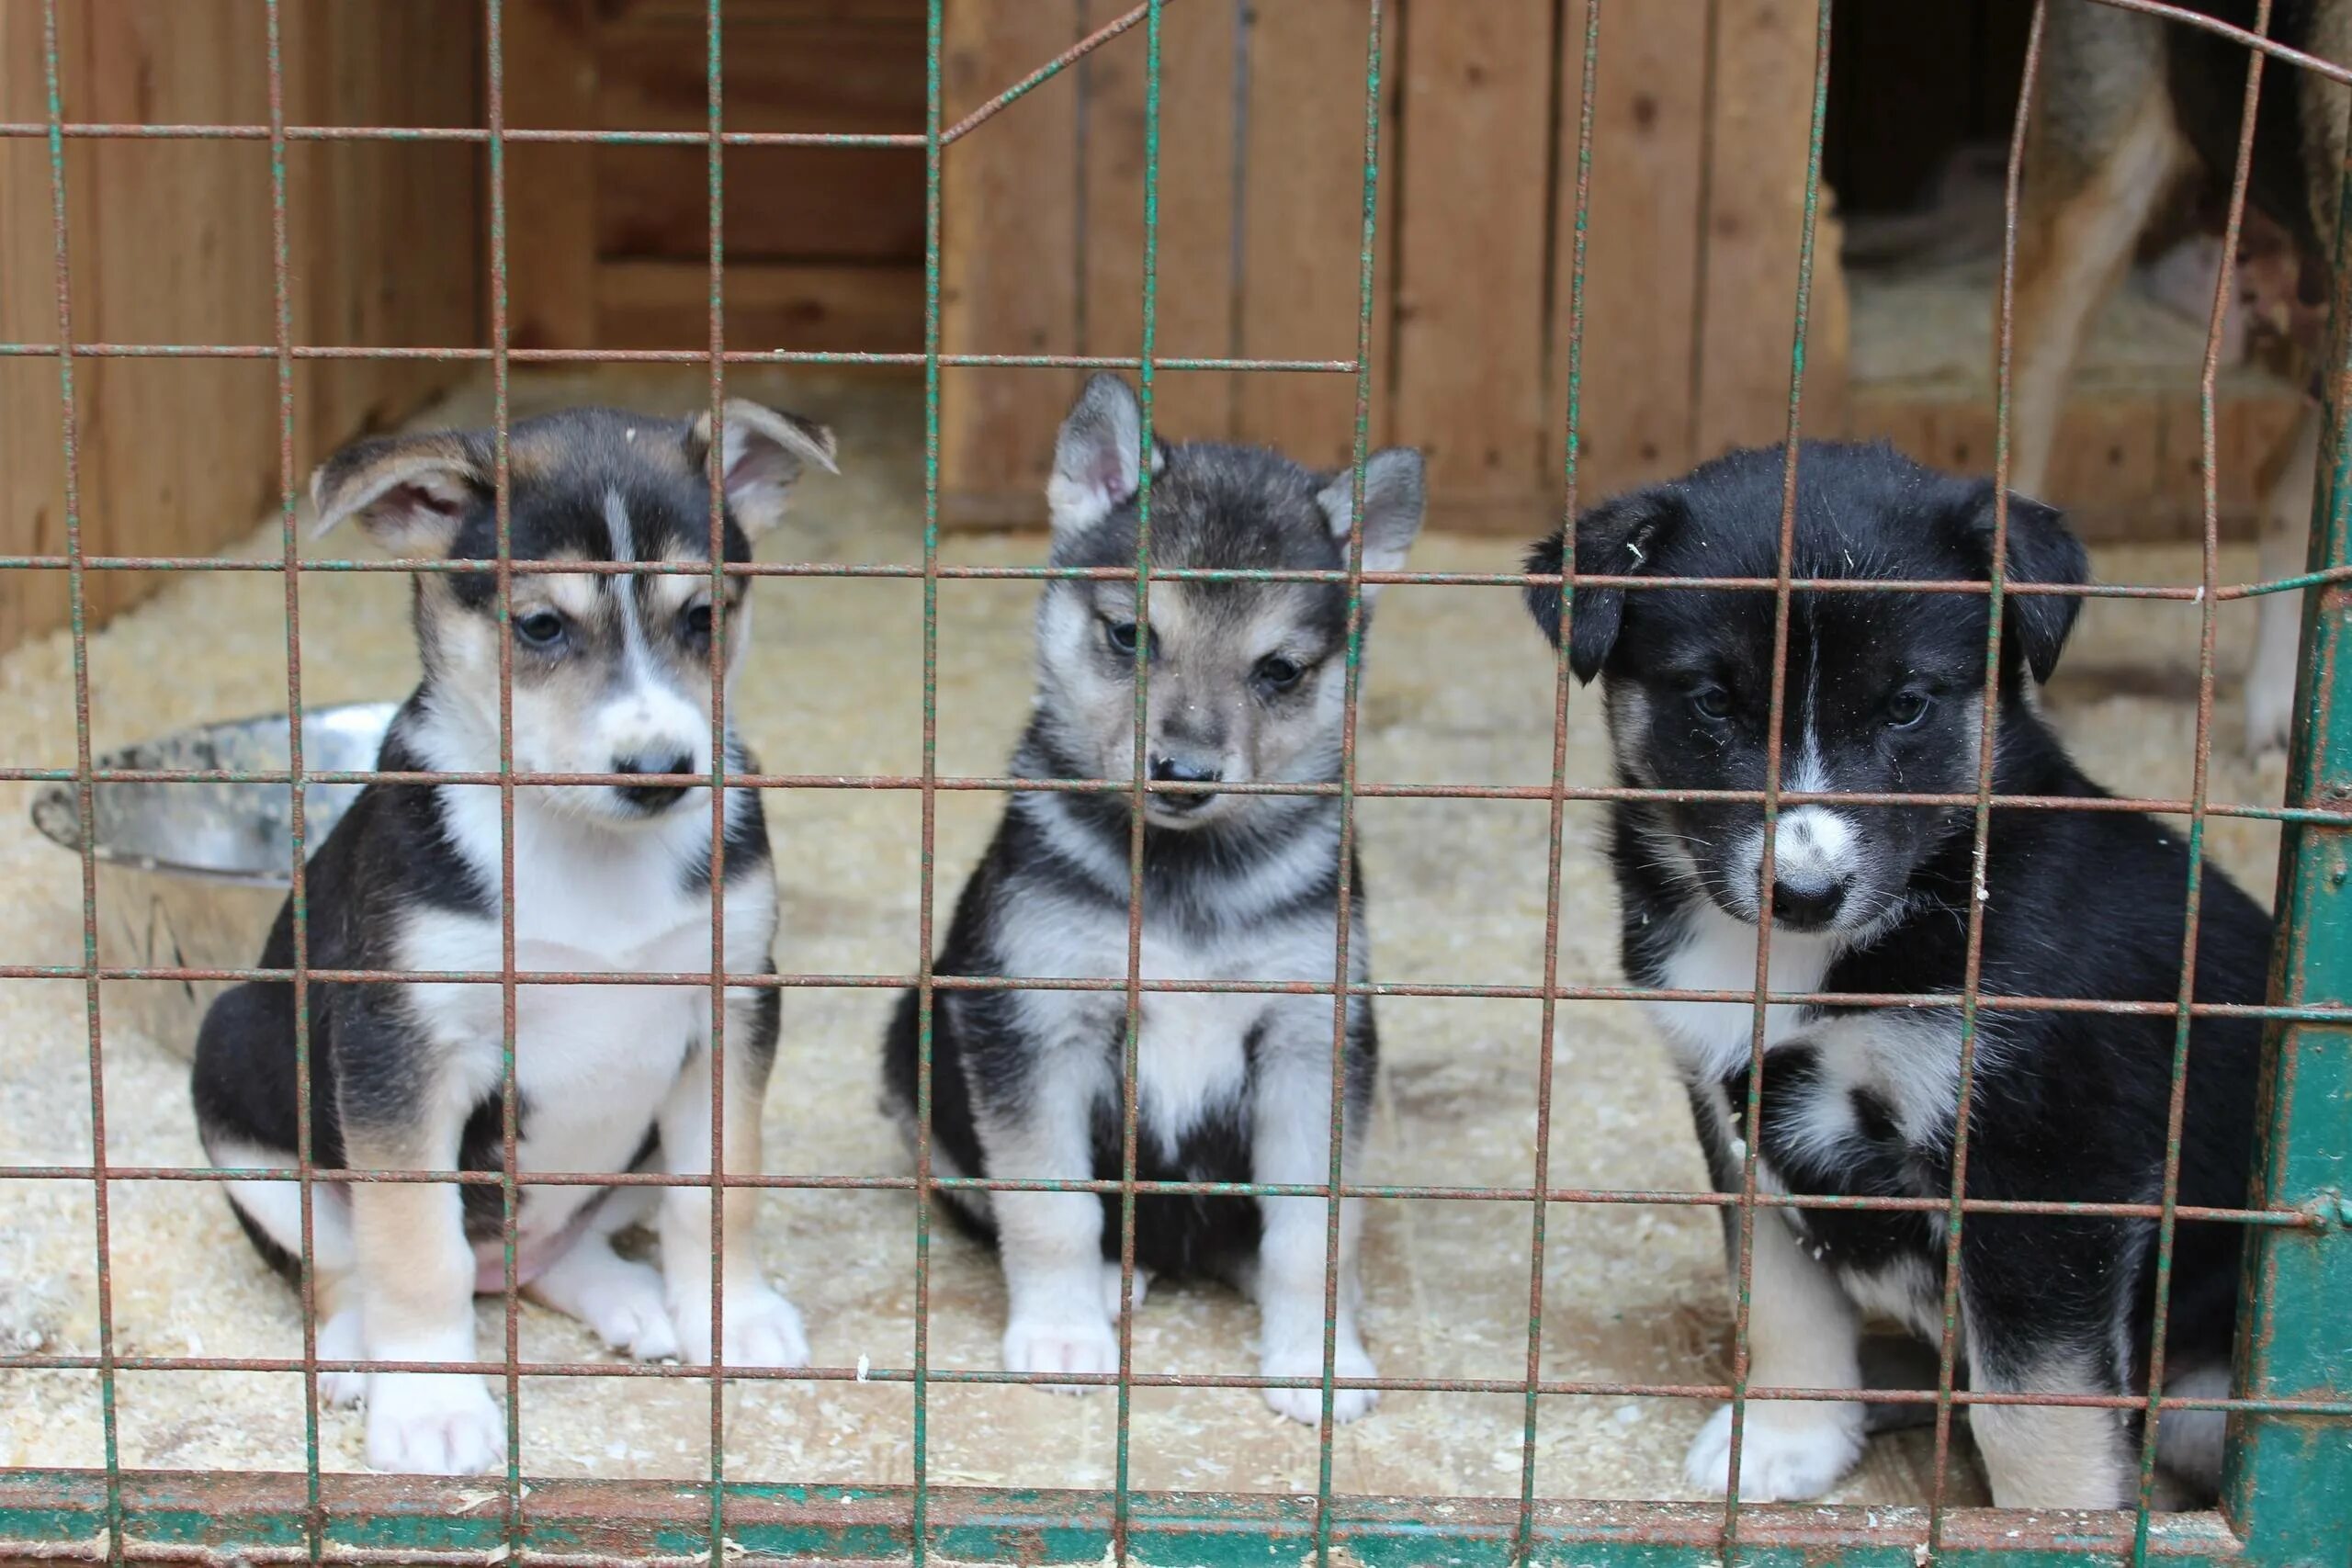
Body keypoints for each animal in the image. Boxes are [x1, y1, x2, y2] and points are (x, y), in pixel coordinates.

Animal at [192, 400, 837, 1476]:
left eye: (702, 618)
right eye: (539, 625)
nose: (660, 770)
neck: (584, 849)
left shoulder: (734, 1006)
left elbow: (720, 1190)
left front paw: (733, 1318)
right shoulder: (400, 1045)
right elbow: (414, 1244)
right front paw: (432, 1408)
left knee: (560, 1250)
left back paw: (629, 1300)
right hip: (236, 1075)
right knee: (345, 1269)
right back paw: (359, 1357)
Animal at [884, 371, 1420, 1419]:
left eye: (1279, 670)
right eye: (1131, 634)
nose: (1183, 772)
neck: (1187, 874)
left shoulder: (1312, 1039)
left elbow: (1312, 1234)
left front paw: (1316, 1355)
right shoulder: (1034, 1021)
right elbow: (1048, 1205)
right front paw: (1059, 1334)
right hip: (913, 1049)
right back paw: (1107, 1282)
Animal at [1523, 442, 2277, 1504]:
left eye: (1908, 704)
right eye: (1712, 702)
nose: (1804, 892)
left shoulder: (2041, 1160)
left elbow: (2033, 1406)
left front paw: (2050, 1524)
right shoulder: (1737, 1103)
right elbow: (1780, 1296)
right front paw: (1789, 1438)